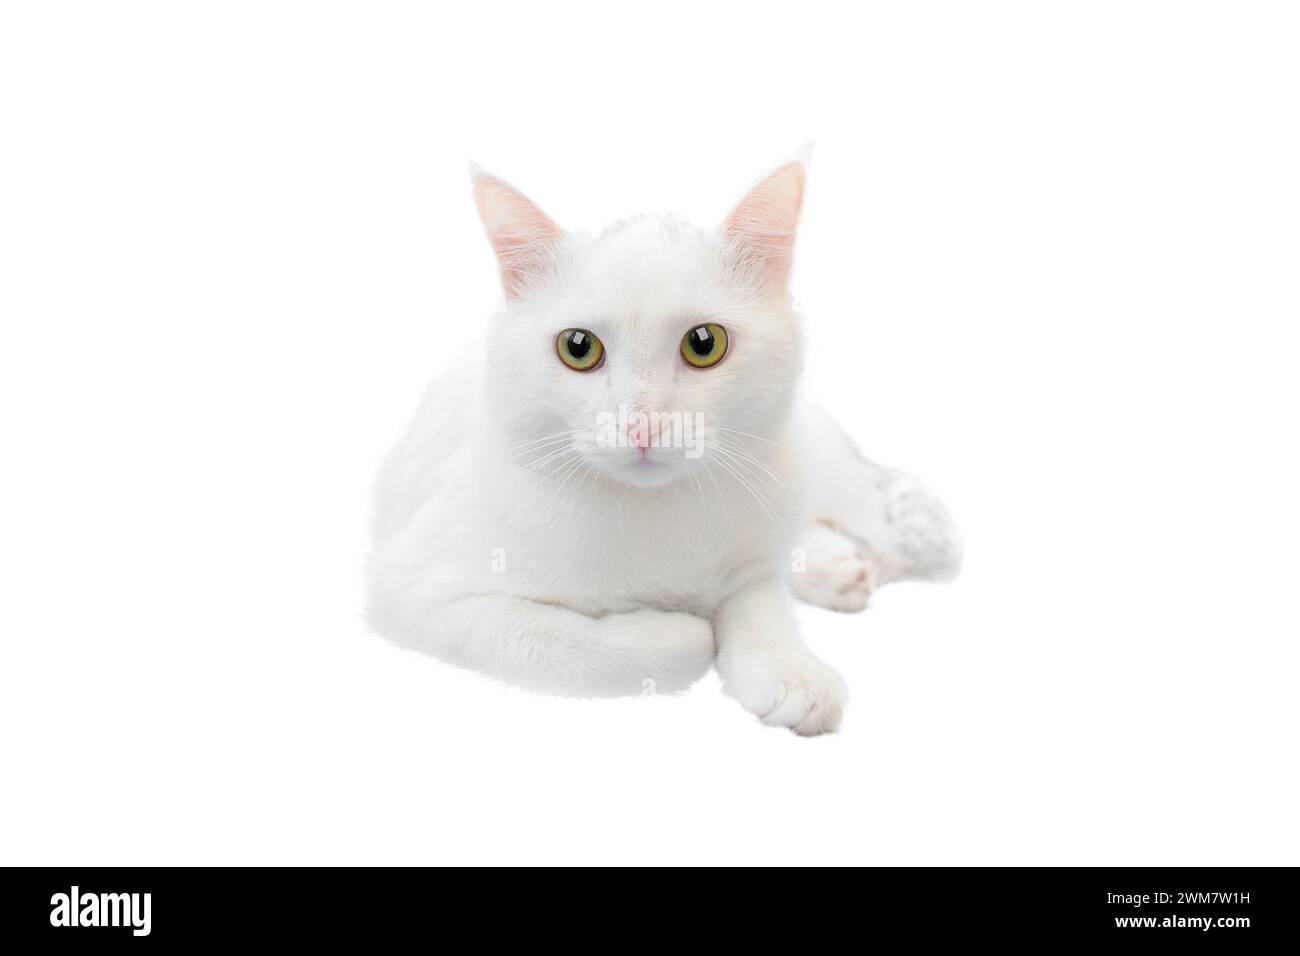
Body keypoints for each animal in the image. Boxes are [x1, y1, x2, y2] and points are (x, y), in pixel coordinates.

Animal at [366, 153, 956, 738]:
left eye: (704, 344)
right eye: (577, 348)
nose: (642, 426)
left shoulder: (754, 553)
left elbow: (757, 598)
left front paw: (790, 670)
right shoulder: (416, 593)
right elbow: (558, 642)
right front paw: (680, 631)